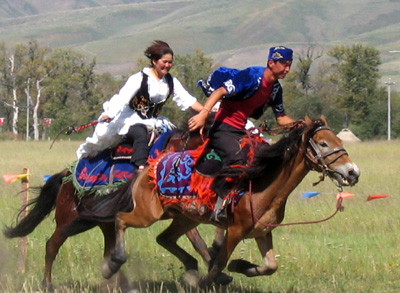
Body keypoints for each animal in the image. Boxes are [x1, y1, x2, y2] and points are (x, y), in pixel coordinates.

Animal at [2, 128, 231, 290]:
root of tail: (66, 175)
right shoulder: (176, 212)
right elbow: (196, 241)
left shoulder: (184, 212)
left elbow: (199, 241)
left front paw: (216, 270)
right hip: (70, 220)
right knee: (52, 245)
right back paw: (48, 284)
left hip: (102, 222)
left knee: (109, 251)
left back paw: (120, 282)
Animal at [74, 114, 360, 288]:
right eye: (323, 143)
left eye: (337, 139)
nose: (352, 172)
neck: (264, 184)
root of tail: (147, 167)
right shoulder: (234, 231)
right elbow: (218, 262)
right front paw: (210, 279)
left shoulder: (262, 232)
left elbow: (271, 265)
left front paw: (241, 266)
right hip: (148, 214)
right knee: (121, 219)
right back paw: (113, 263)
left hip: (183, 218)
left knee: (163, 238)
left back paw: (188, 271)